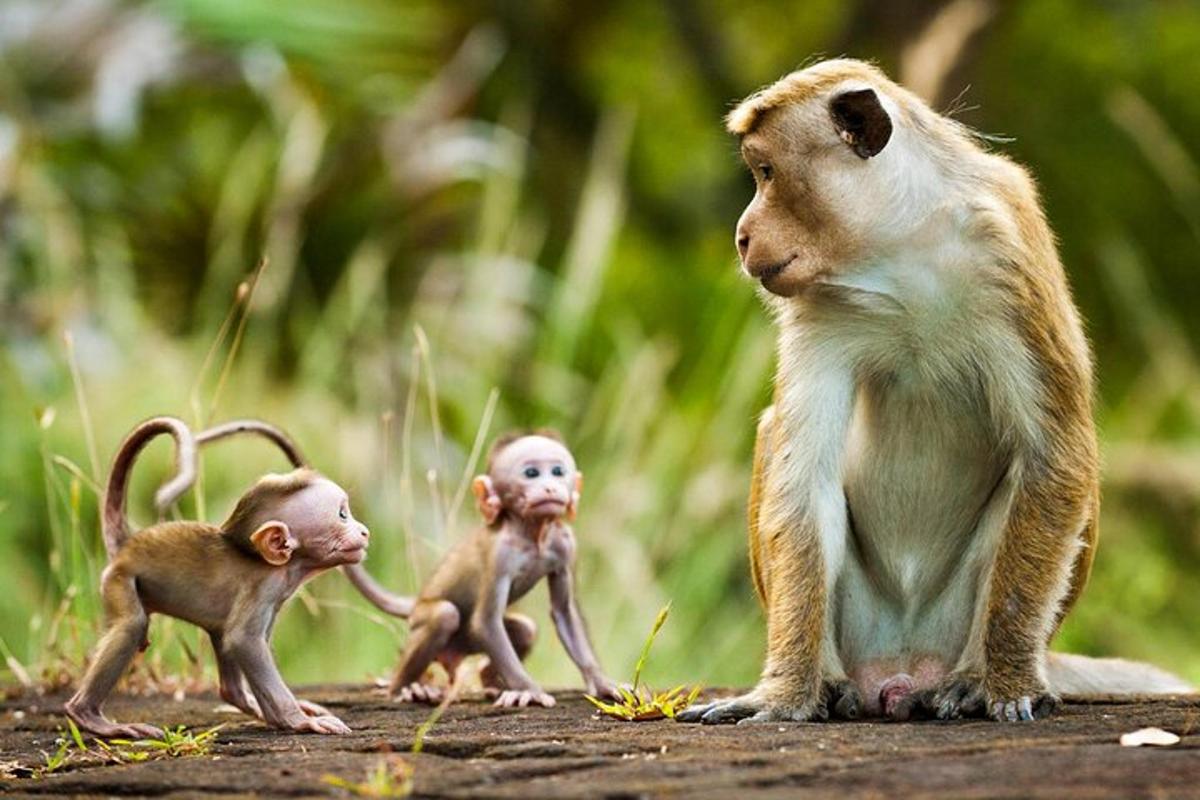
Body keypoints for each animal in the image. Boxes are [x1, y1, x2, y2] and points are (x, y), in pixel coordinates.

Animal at [65, 419, 369, 738]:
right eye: (342, 515)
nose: (364, 531)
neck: (285, 566)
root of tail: (127, 545)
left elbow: (239, 640)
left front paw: (281, 715)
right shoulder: (263, 587)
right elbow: (243, 640)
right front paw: (298, 720)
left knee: (220, 644)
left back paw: (244, 700)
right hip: (120, 579)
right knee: (132, 626)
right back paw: (90, 716)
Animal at [340, 434, 614, 710]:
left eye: (558, 471)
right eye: (531, 473)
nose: (550, 487)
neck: (531, 534)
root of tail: (417, 601)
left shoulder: (566, 544)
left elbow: (564, 612)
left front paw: (602, 683)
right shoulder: (499, 554)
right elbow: (485, 621)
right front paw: (529, 690)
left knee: (526, 629)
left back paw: (491, 682)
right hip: (422, 620)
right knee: (443, 615)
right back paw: (404, 687)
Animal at [681, 59, 1195, 729]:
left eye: (766, 172)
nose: (742, 237)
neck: (901, 250)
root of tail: (900, 673)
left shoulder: (1009, 251)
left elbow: (1055, 455)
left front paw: (1006, 682)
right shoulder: (819, 306)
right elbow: (804, 478)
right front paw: (785, 695)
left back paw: (973, 677)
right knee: (777, 439)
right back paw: (833, 682)